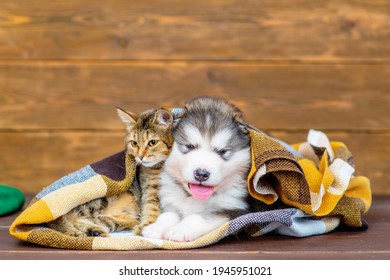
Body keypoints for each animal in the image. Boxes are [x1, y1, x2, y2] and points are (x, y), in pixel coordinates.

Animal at [46, 108, 174, 237]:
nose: (140, 156)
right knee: (58, 219)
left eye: (152, 142)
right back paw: (74, 232)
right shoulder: (150, 190)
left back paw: (93, 231)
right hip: (96, 201)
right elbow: (152, 208)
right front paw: (146, 228)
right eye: (134, 143)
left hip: (113, 220)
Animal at [142, 96, 250, 241]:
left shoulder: (235, 208)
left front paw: (180, 230)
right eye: (190, 146)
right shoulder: (169, 198)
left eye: (222, 151)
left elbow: (198, 217)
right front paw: (157, 227)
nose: (201, 174)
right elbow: (169, 214)